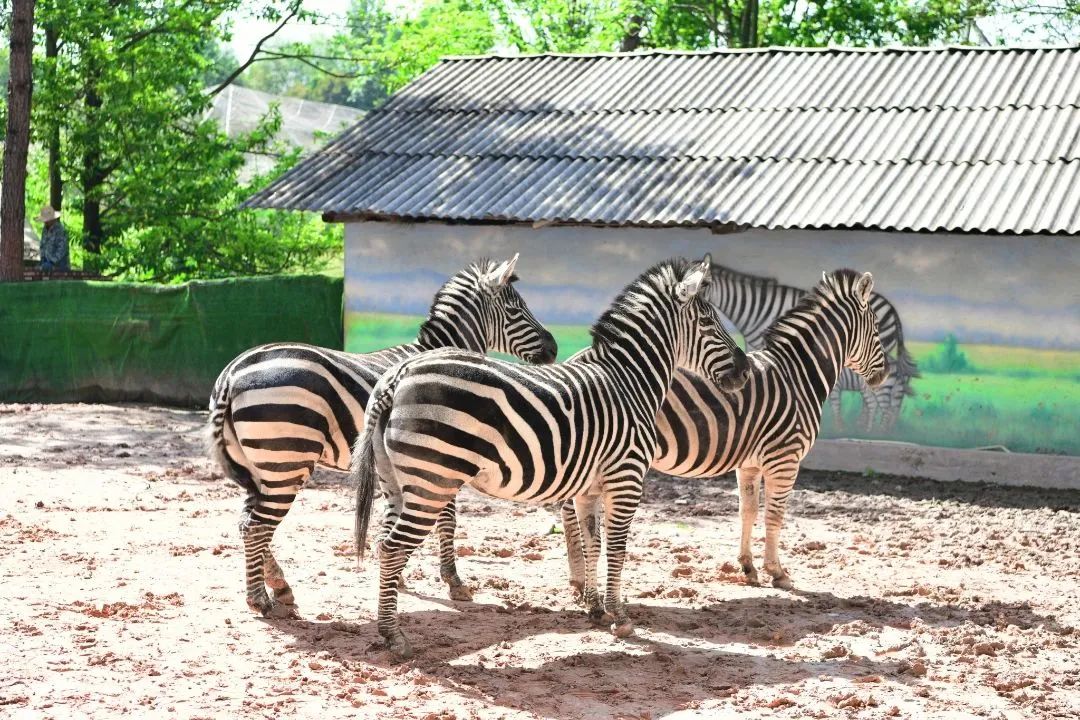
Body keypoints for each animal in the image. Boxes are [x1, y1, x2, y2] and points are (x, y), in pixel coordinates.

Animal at [206, 254, 557, 621]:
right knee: (257, 525)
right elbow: (447, 519)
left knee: (248, 523)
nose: (553, 348)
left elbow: (394, 513)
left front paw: (396, 575)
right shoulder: (443, 455)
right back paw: (260, 598)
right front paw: (452, 581)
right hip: (285, 458)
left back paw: (278, 586)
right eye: (516, 309)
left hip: (258, 463)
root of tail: (232, 371)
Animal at [354, 257, 751, 660]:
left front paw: (595, 608)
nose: (745, 370)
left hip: (396, 481)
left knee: (384, 542)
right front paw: (621, 618)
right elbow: (617, 549)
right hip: (432, 479)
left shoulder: (589, 489)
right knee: (393, 547)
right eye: (708, 321)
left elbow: (592, 544)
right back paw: (394, 636)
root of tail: (399, 374)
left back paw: (387, 625)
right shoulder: (626, 479)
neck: (630, 382)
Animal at [557, 267, 885, 595]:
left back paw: (578, 578)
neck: (798, 375)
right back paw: (580, 579)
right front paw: (777, 572)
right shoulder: (785, 458)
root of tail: (574, 360)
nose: (882, 376)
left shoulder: (750, 463)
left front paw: (748, 567)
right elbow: (775, 515)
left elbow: (747, 510)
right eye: (877, 331)